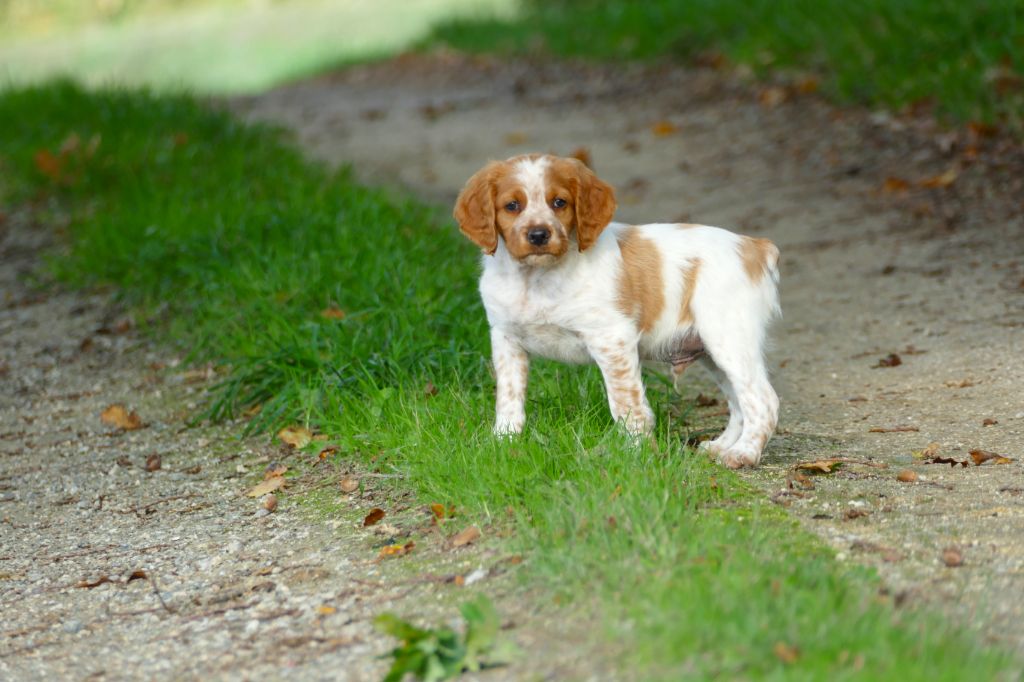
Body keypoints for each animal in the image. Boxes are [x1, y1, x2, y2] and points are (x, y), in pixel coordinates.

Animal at [452, 152, 778, 466]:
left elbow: (626, 404)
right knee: (739, 403)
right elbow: (508, 397)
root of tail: (756, 246)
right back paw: (722, 447)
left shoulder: (612, 339)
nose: (539, 235)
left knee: (763, 400)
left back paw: (743, 454)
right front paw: (503, 442)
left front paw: (638, 454)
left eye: (559, 202)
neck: (537, 278)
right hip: (712, 351)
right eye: (512, 205)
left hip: (730, 339)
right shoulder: (506, 338)